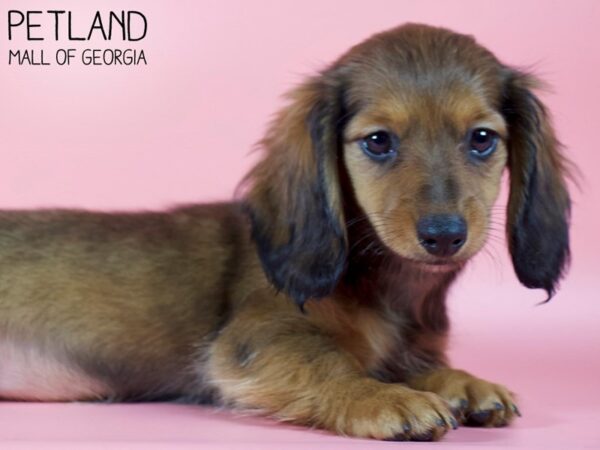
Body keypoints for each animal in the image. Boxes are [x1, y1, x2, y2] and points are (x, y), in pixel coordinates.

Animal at [0, 22, 572, 442]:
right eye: (378, 141)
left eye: (481, 139)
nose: (444, 236)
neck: (388, 287)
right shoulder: (258, 339)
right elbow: (332, 364)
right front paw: (383, 397)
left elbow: (413, 363)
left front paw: (464, 383)